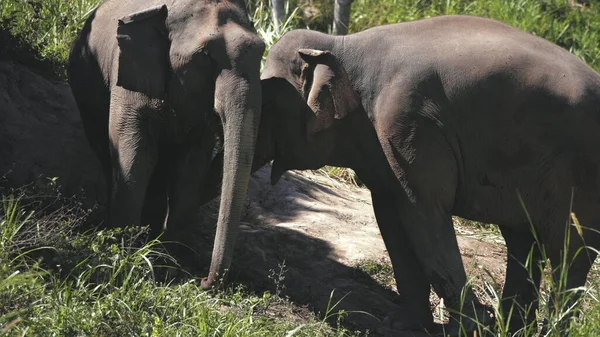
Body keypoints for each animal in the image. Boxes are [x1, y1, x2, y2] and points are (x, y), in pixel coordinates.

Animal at [67, 0, 264, 288]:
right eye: (206, 57)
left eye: (261, 54)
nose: (202, 281)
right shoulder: (131, 78)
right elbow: (136, 153)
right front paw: (123, 248)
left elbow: (191, 166)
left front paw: (171, 263)